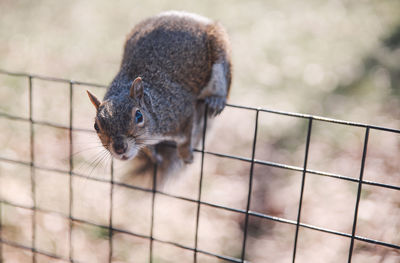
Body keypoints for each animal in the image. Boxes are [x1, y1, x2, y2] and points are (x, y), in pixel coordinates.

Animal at [86, 12, 231, 166]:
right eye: (96, 126)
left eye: (139, 116)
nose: (120, 148)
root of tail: (197, 20)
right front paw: (153, 156)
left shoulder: (181, 110)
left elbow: (185, 138)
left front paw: (185, 154)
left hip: (219, 49)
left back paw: (217, 99)